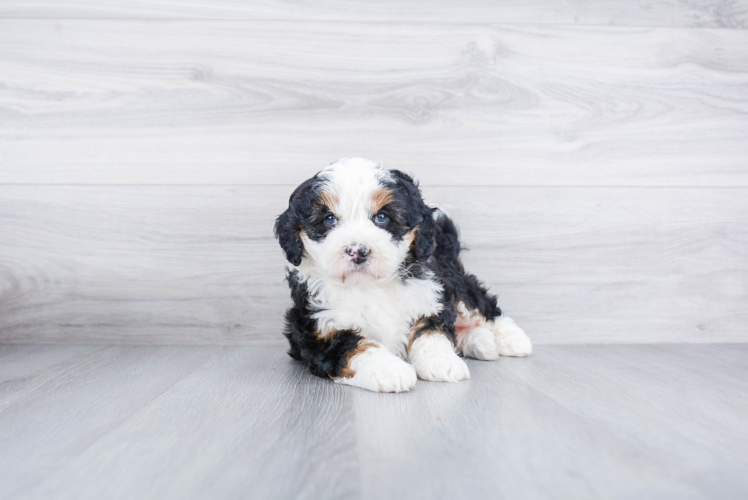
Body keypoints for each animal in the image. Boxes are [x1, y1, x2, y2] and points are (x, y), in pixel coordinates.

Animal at [274, 158, 532, 392]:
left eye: (382, 218)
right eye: (329, 219)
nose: (358, 250)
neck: (369, 285)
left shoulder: (431, 296)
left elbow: (431, 329)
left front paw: (442, 361)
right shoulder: (316, 329)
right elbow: (353, 346)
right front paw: (389, 369)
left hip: (455, 282)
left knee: (481, 306)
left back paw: (512, 340)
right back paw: (481, 342)